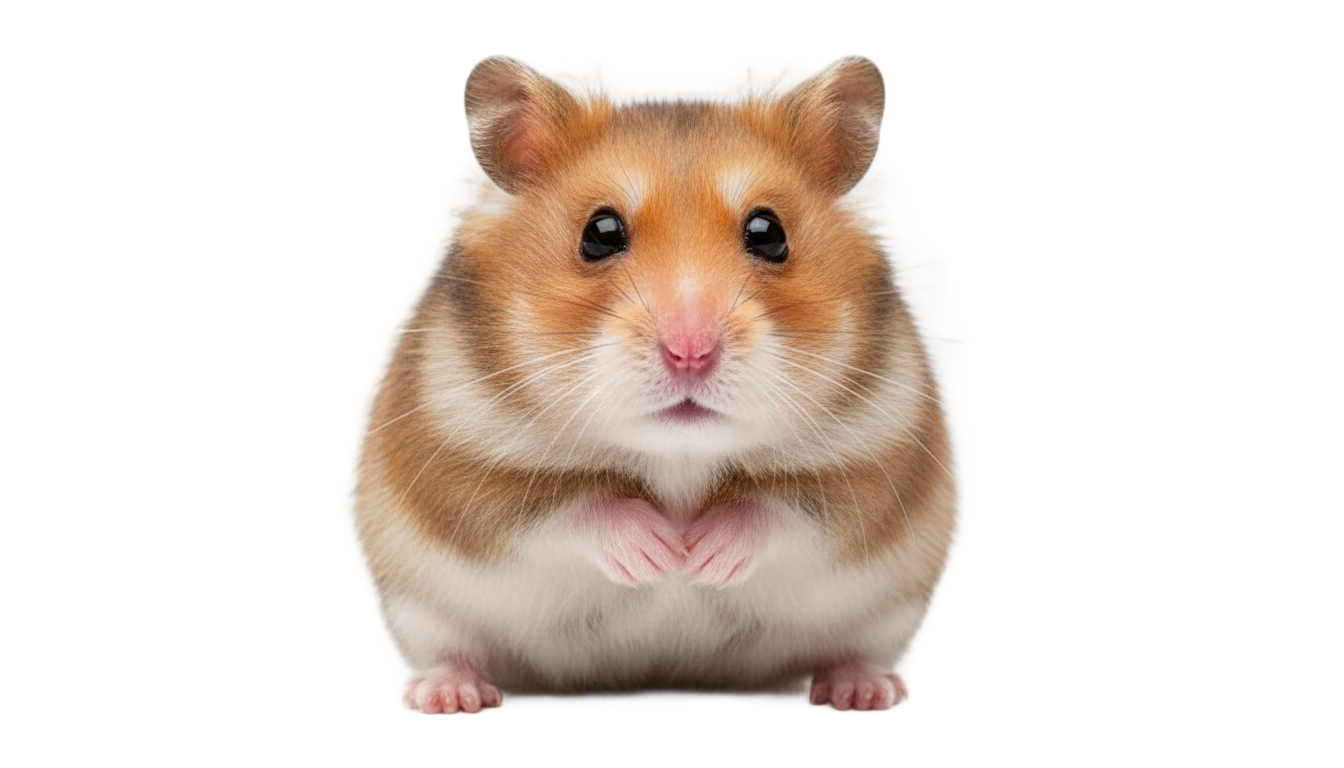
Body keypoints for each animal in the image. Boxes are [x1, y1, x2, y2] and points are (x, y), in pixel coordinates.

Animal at [351, 55, 956, 712]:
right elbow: (567, 507)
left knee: (847, 650)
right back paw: (448, 696)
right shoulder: (458, 465)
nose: (690, 351)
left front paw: (700, 558)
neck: (678, 456)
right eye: (600, 232)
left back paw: (865, 691)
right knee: (454, 651)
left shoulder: (876, 461)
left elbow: (784, 509)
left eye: (768, 232)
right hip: (422, 611)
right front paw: (663, 554)